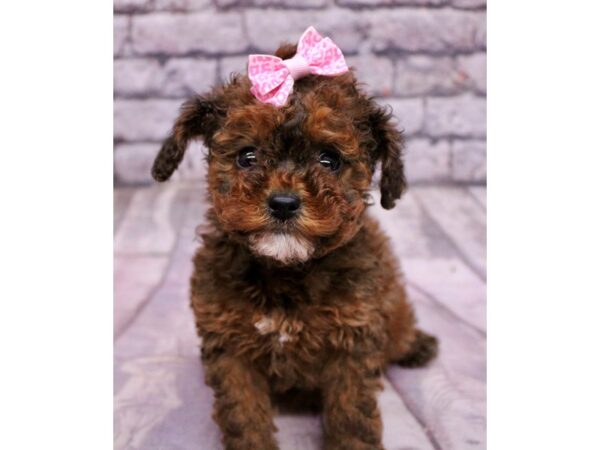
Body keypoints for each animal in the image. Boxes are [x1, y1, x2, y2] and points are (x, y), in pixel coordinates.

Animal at [152, 27, 438, 450]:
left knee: (399, 330)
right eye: (247, 156)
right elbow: (243, 411)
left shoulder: (352, 341)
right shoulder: (230, 346)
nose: (284, 203)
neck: (287, 270)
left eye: (329, 159)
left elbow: (351, 412)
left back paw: (417, 345)